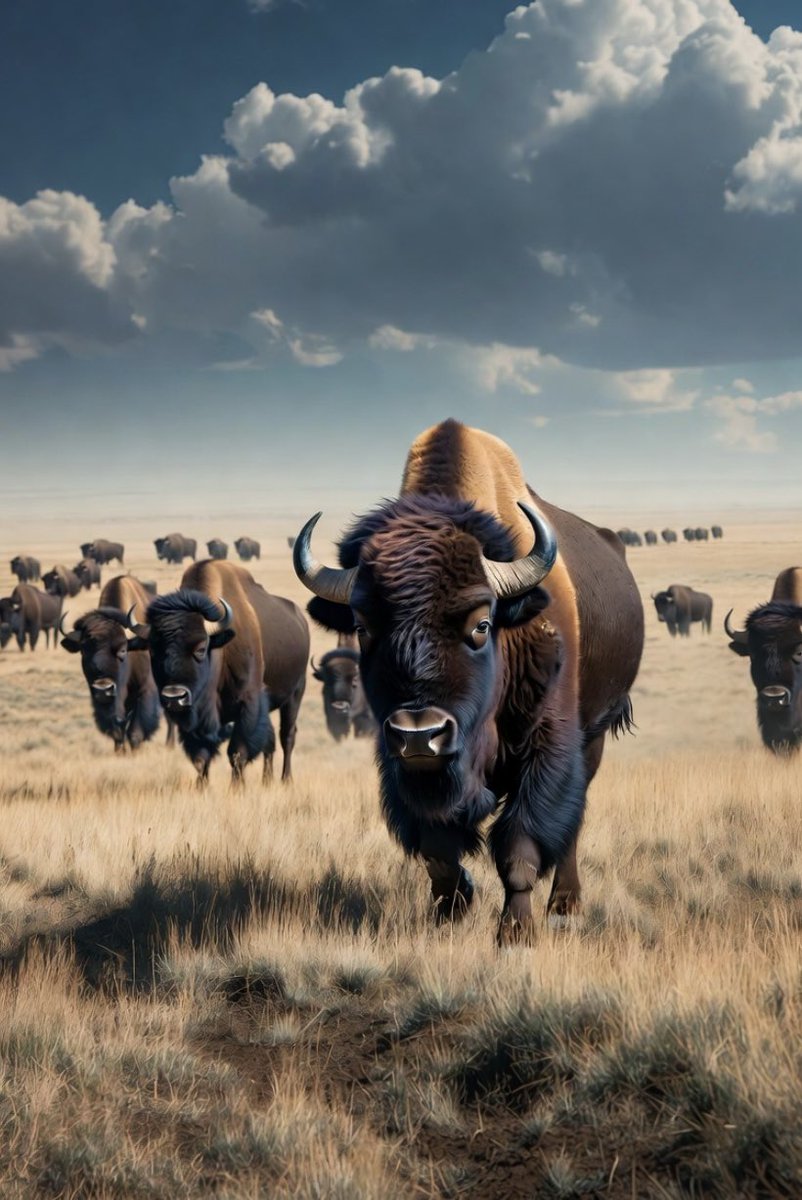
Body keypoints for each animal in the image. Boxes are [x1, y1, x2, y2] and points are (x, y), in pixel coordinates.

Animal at [60, 576, 161, 752]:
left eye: (123, 650)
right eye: (83, 650)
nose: (103, 688)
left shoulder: (146, 688)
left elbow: (136, 731)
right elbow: (117, 731)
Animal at [125, 561, 309, 785]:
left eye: (201, 648)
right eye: (152, 650)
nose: (174, 697)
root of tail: (301, 619)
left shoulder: (248, 704)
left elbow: (237, 753)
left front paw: (237, 788)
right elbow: (201, 756)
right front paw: (201, 786)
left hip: (295, 694)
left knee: (287, 736)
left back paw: (286, 780)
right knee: (270, 741)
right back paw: (267, 781)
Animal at [294, 419, 643, 941]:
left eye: (481, 624)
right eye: (362, 626)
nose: (420, 734)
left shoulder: (547, 746)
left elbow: (520, 845)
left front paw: (515, 934)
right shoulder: (402, 768)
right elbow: (438, 848)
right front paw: (451, 910)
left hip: (594, 735)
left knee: (572, 822)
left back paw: (564, 905)